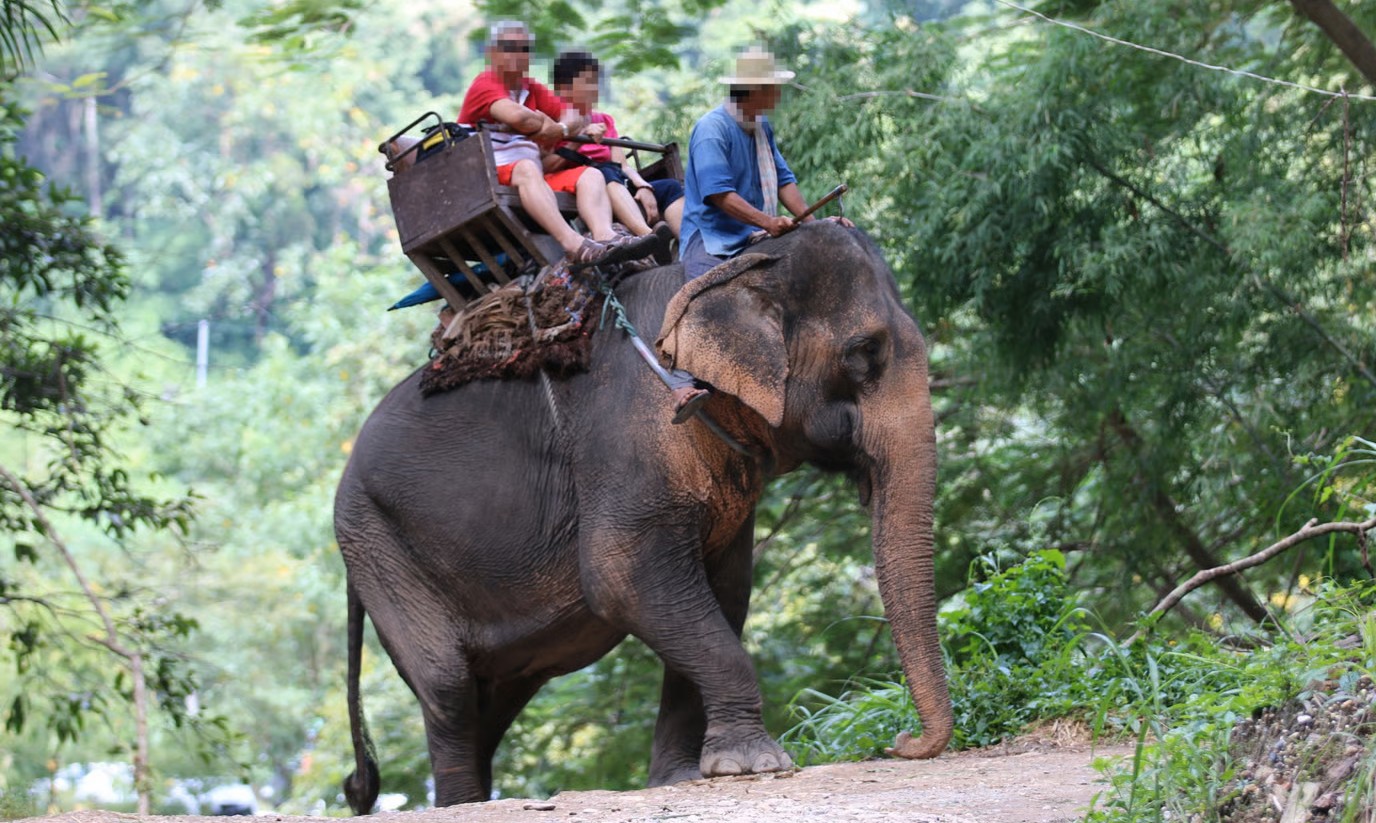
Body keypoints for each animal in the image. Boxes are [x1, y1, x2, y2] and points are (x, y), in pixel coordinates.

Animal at [334, 220, 952, 812]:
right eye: (865, 353)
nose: (901, 744)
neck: (726, 273)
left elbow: (725, 594)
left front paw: (690, 776)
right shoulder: (628, 436)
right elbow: (623, 579)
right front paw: (756, 765)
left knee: (492, 693)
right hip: (378, 547)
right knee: (448, 684)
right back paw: (462, 801)